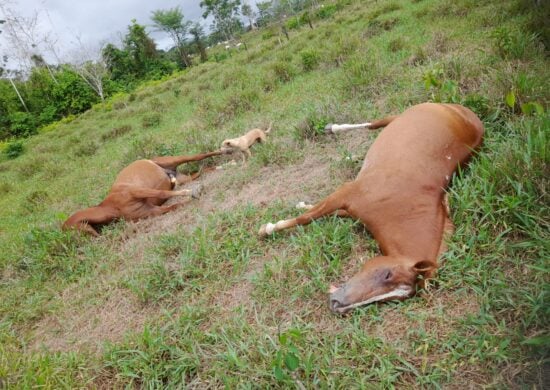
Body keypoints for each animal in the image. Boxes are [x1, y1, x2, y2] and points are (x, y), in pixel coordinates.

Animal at [260, 103, 486, 314]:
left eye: (393, 299)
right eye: (387, 274)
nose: (337, 304)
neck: (402, 206)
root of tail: (465, 112)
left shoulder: (350, 208)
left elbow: (324, 214)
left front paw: (300, 205)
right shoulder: (346, 192)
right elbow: (306, 218)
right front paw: (268, 229)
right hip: (402, 115)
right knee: (374, 124)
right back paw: (334, 128)